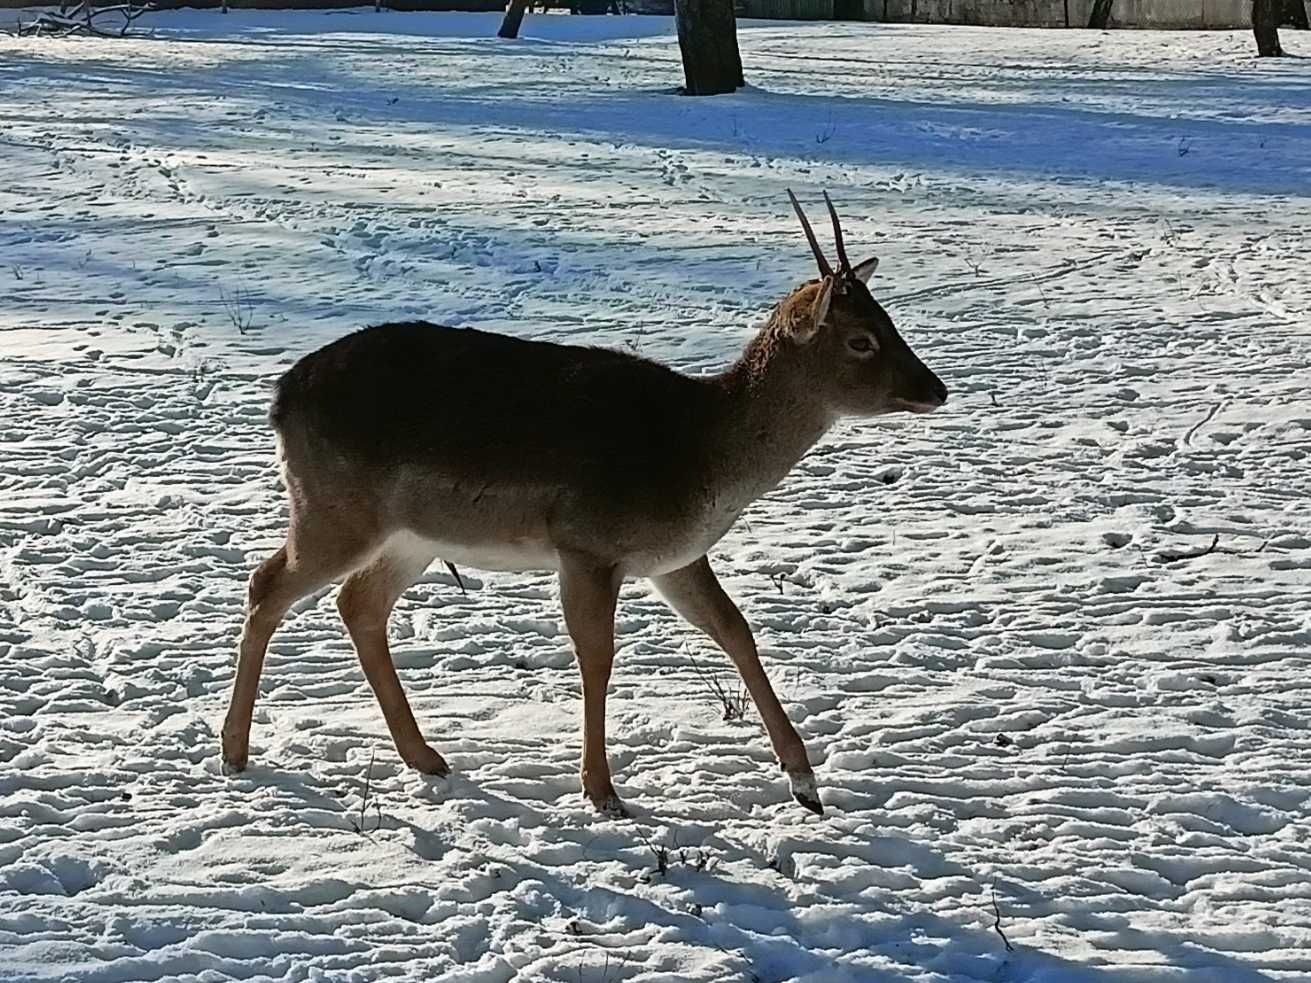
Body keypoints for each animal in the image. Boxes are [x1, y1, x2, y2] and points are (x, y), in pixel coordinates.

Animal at [220, 190, 949, 817]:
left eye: (889, 320)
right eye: (860, 339)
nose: (935, 388)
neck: (699, 455)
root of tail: (281, 396)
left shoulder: (674, 557)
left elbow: (734, 629)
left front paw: (804, 781)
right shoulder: (587, 544)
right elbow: (597, 656)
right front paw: (602, 789)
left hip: (411, 536)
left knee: (358, 604)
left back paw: (425, 755)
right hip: (336, 508)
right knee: (267, 583)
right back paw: (234, 750)